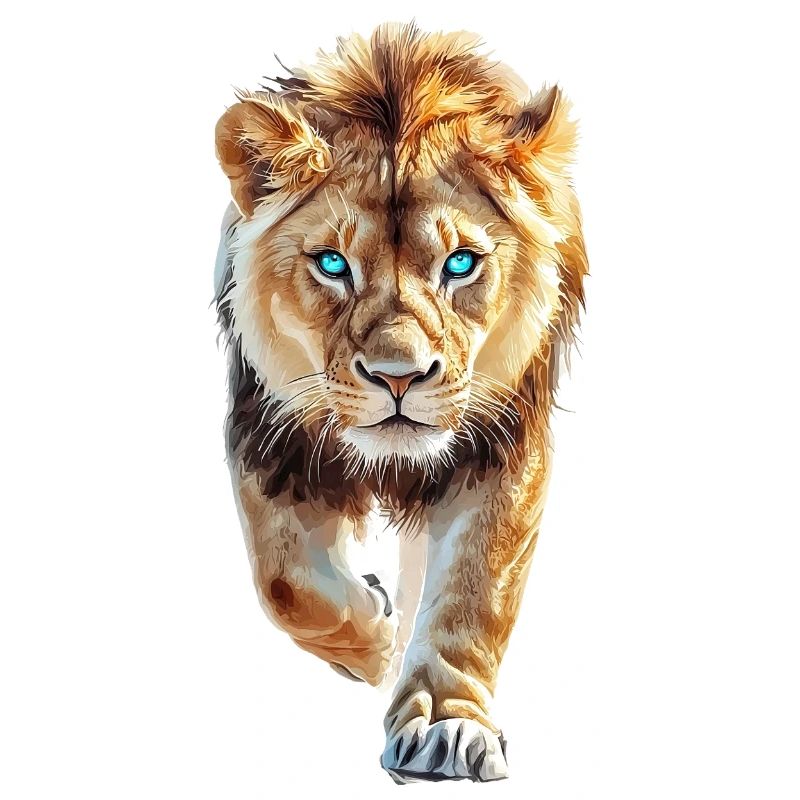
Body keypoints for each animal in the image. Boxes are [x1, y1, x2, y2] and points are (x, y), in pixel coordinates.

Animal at [213, 22, 587, 783]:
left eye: (461, 263)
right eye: (332, 264)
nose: (398, 377)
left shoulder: (505, 442)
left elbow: (474, 592)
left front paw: (446, 724)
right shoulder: (265, 433)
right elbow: (284, 583)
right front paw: (376, 643)